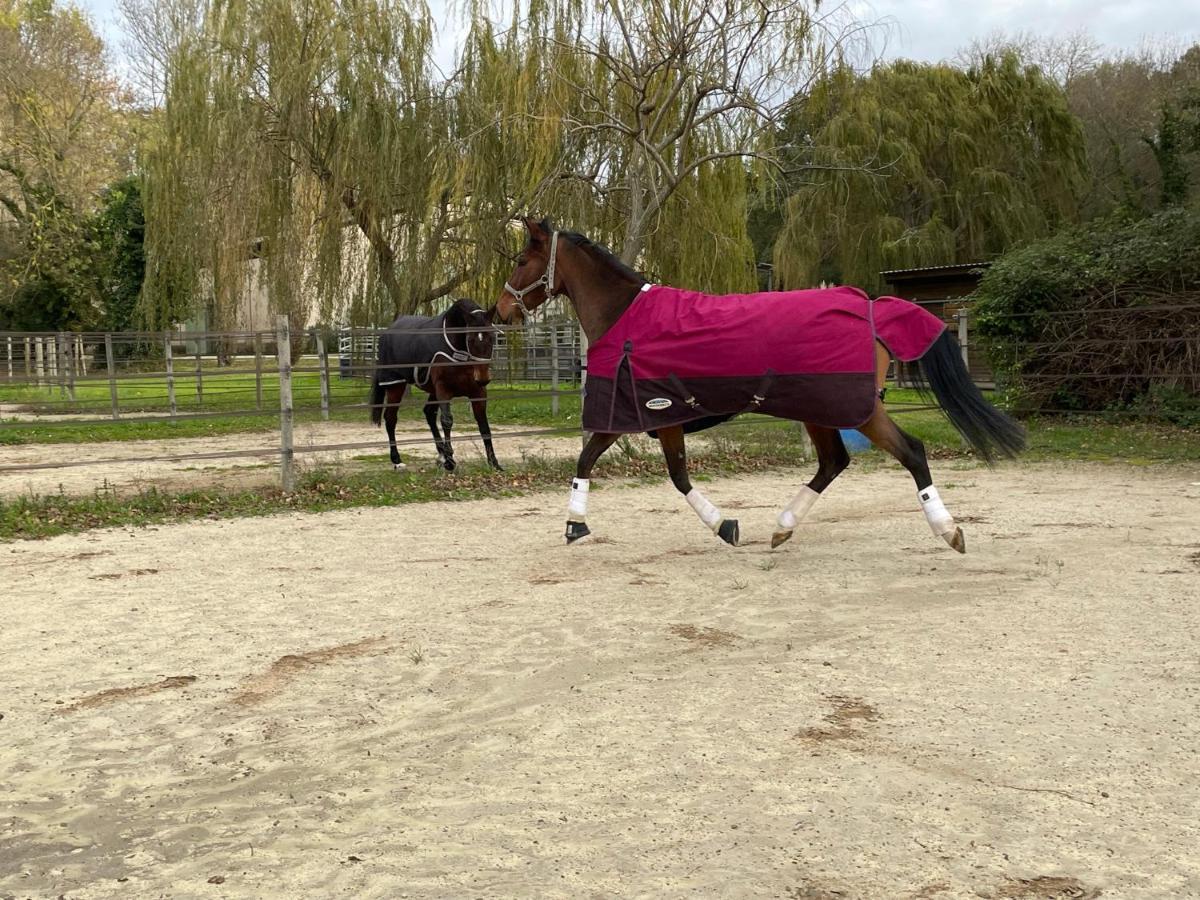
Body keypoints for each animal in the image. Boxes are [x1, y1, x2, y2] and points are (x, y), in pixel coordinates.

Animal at [362, 301, 499, 472]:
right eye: (470, 338)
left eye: (492, 337)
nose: (482, 378)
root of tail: (387, 332)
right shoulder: (443, 389)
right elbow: (447, 421)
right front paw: (450, 462)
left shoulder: (478, 392)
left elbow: (484, 425)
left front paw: (494, 463)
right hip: (396, 386)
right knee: (391, 418)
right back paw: (397, 460)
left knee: (428, 413)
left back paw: (441, 454)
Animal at [494, 222, 1022, 554]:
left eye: (521, 259)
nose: (501, 310)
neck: (626, 320)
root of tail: (872, 308)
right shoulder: (656, 417)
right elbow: (661, 472)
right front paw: (726, 525)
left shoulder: (645, 413)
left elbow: (607, 463)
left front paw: (575, 524)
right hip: (821, 411)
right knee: (834, 463)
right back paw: (781, 529)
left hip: (853, 410)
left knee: (910, 452)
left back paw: (949, 532)